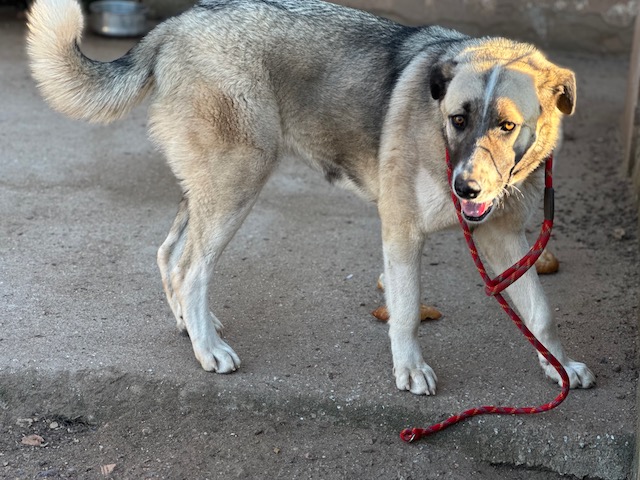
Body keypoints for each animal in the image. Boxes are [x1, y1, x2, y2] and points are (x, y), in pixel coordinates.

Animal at [27, 0, 595, 395]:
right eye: (457, 119)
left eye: (507, 125)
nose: (466, 188)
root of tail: (176, 25)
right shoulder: (402, 231)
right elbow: (407, 310)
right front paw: (410, 370)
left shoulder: (503, 238)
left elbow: (540, 311)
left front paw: (559, 366)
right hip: (238, 181)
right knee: (192, 267)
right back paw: (208, 349)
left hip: (211, 185)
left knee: (170, 253)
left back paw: (192, 325)